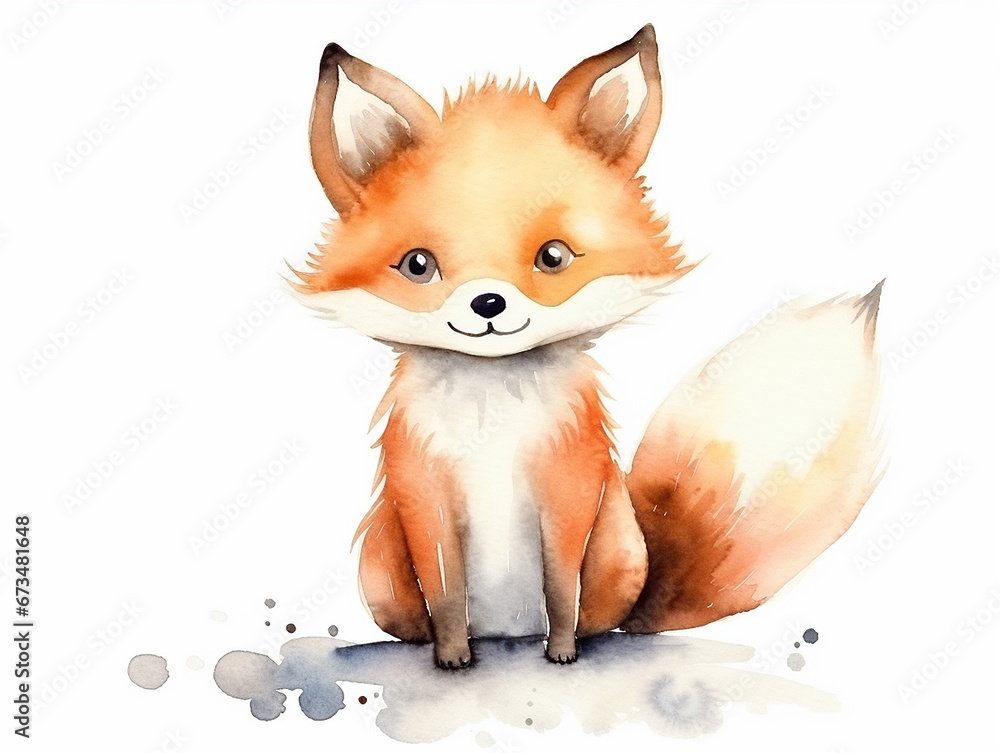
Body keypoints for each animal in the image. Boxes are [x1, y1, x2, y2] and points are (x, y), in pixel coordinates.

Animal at [290, 25, 884, 669]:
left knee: (602, 618)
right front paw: (452, 657)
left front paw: (563, 651)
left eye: (553, 256)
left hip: (618, 548)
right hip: (379, 566)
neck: (492, 411)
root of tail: (505, 630)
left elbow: (561, 586)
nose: (488, 304)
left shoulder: (570, 483)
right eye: (418, 265)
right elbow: (445, 592)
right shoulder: (421, 492)